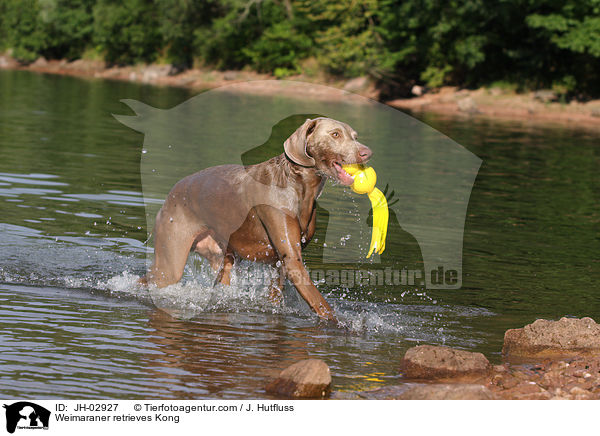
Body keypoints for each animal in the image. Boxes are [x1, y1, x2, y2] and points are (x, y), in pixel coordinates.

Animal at [142, 116, 372, 320]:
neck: (298, 185)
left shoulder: (279, 264)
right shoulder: (292, 260)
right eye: (335, 134)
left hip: (221, 256)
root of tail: (172, 193)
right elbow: (321, 304)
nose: (367, 152)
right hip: (170, 261)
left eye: (355, 136)